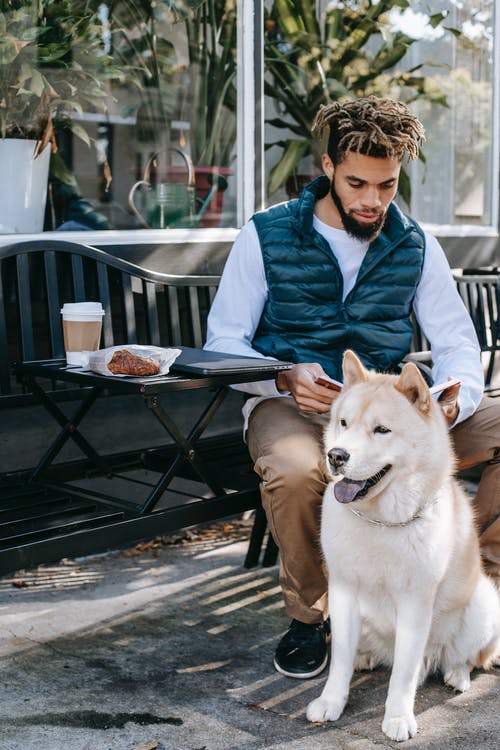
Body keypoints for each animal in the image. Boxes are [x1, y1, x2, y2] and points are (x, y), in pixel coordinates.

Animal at [306, 356, 498, 744]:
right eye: (344, 423)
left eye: (382, 430)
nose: (336, 456)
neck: (381, 522)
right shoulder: (343, 592)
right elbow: (340, 661)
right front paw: (331, 701)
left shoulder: (415, 602)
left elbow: (404, 674)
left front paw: (397, 716)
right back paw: (366, 657)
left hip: (484, 603)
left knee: (464, 657)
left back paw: (457, 675)